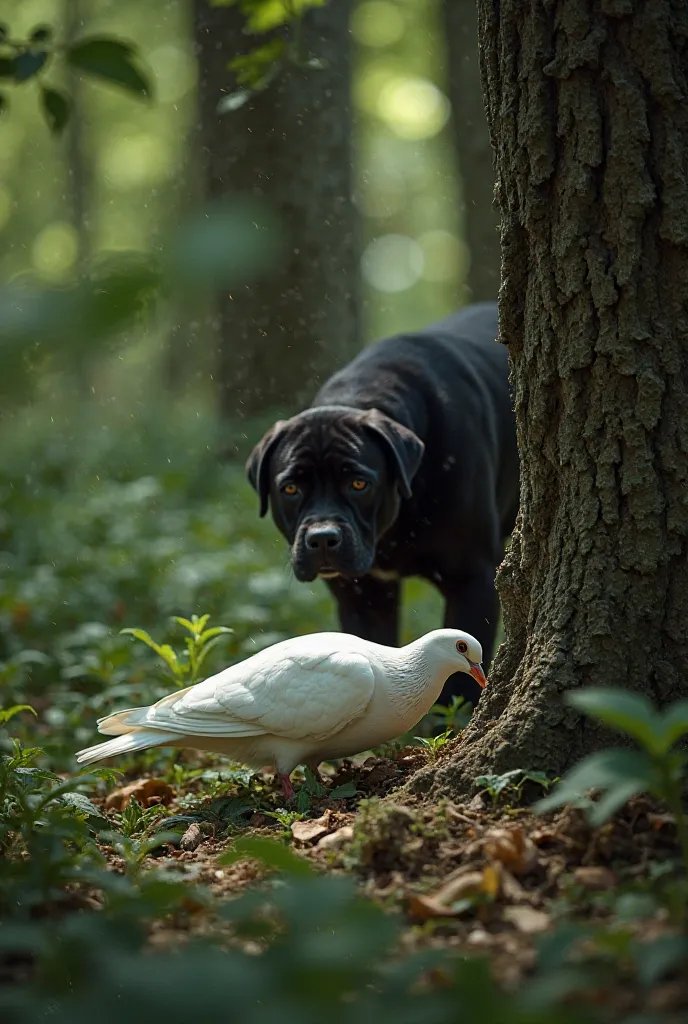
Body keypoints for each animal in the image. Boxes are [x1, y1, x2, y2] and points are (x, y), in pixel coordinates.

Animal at [244, 299, 518, 708]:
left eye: (360, 483)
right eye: (290, 489)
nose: (322, 538)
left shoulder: (473, 579)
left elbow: (460, 681)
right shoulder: (361, 597)